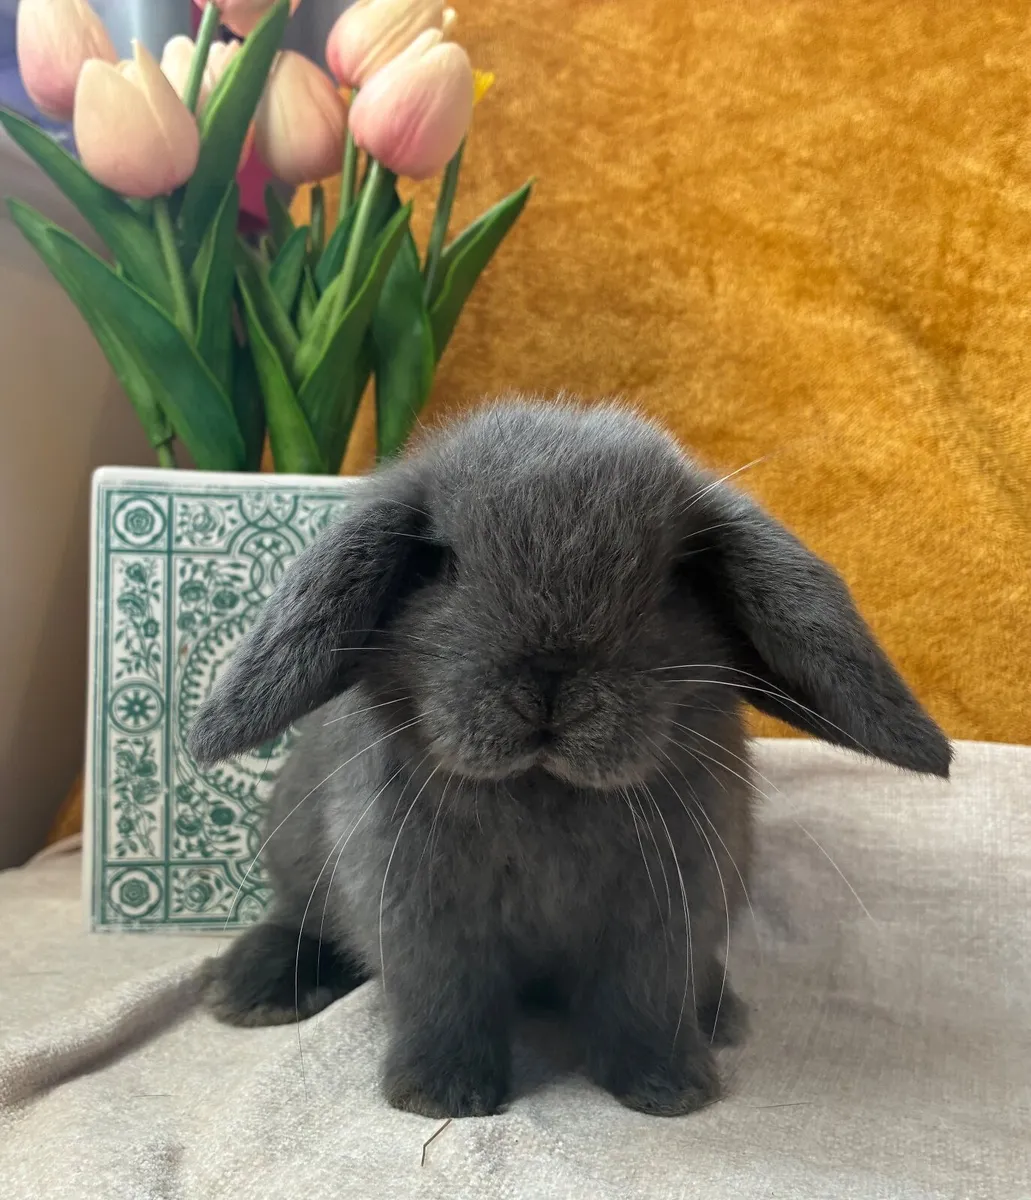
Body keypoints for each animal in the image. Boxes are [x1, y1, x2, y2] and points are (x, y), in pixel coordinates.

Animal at [188, 398, 951, 1120]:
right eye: (441, 563)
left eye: (673, 580)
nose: (551, 682)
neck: (545, 791)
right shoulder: (418, 915)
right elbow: (444, 1002)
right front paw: (438, 1095)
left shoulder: (665, 919)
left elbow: (644, 1005)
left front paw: (668, 1089)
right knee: (297, 919)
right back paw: (254, 989)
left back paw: (721, 1017)